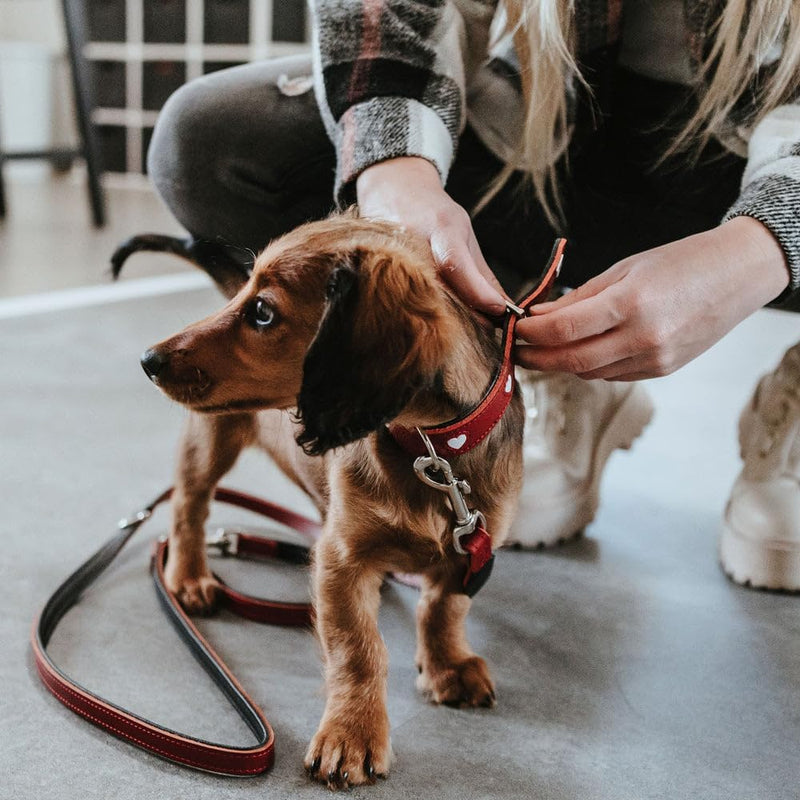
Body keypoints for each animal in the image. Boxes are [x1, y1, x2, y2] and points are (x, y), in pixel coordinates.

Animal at [138, 216, 524, 792]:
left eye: (262, 312)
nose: (148, 360)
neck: (430, 454)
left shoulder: (475, 546)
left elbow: (444, 608)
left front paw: (447, 665)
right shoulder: (342, 559)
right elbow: (358, 649)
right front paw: (352, 734)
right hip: (209, 440)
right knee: (189, 505)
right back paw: (188, 576)